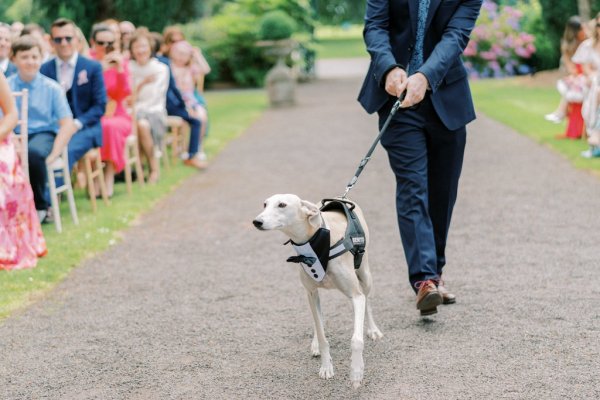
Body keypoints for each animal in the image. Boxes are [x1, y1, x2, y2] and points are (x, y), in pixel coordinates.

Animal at [251, 194, 382, 388]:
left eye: (282, 205)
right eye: (265, 204)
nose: (256, 221)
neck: (317, 243)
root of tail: (343, 197)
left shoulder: (356, 296)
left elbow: (356, 339)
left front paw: (356, 372)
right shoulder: (311, 292)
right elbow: (321, 334)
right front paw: (326, 366)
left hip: (365, 275)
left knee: (368, 302)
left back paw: (373, 330)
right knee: (317, 318)